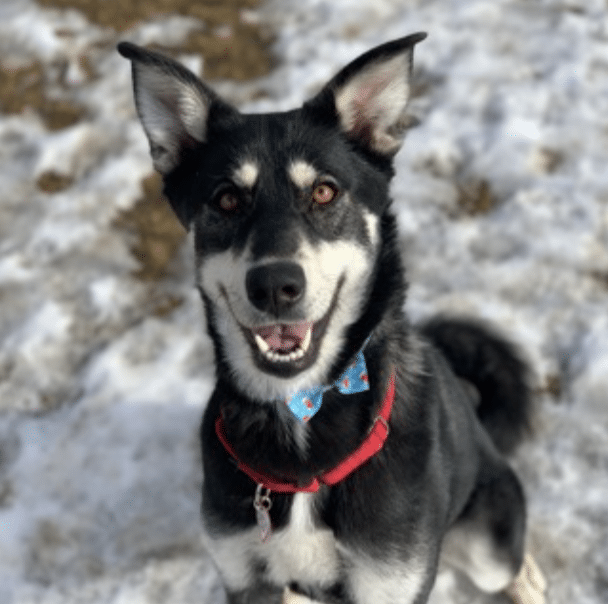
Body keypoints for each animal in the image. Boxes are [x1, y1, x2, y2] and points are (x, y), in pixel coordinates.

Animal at [117, 34, 548, 604]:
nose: (274, 286)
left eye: (324, 191)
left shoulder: (391, 579)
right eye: (227, 199)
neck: (301, 420)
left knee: (510, 561)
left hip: (485, 538)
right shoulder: (244, 574)